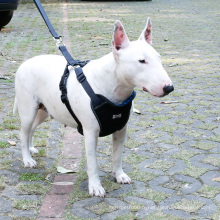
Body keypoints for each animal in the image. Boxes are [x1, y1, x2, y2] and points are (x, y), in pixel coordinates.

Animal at [13, 18, 174, 196]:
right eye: (142, 61)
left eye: (159, 58)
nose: (169, 88)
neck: (112, 84)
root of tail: (25, 63)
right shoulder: (90, 132)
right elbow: (93, 163)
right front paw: (95, 186)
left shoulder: (121, 129)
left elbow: (117, 156)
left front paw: (119, 175)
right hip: (28, 110)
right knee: (23, 132)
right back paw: (27, 159)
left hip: (44, 110)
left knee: (32, 129)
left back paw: (31, 149)